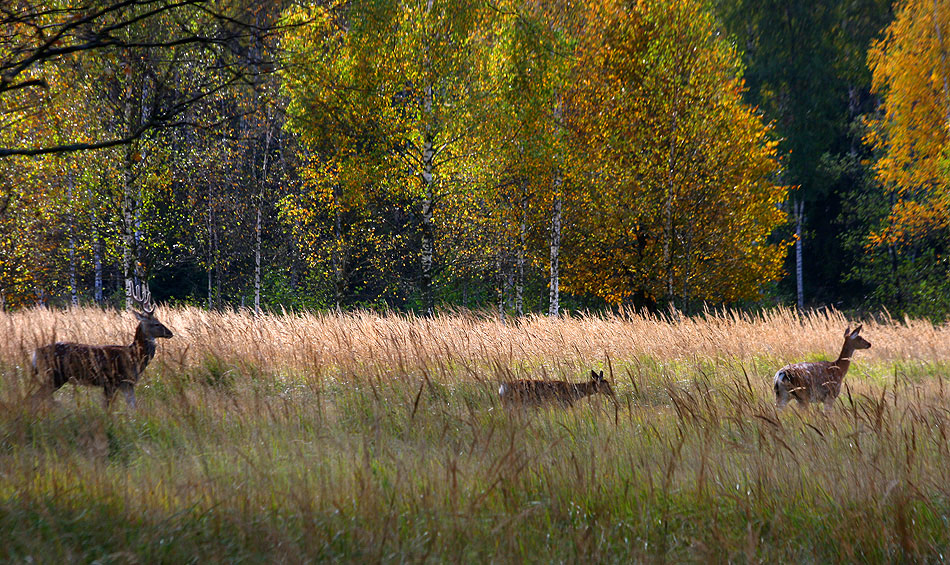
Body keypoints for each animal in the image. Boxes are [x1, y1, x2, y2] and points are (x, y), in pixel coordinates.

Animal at [32, 282, 175, 410]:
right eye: (156, 323)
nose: (170, 333)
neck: (133, 356)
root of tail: (36, 352)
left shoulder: (127, 384)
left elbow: (132, 407)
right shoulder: (111, 381)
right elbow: (107, 407)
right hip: (55, 375)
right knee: (36, 398)